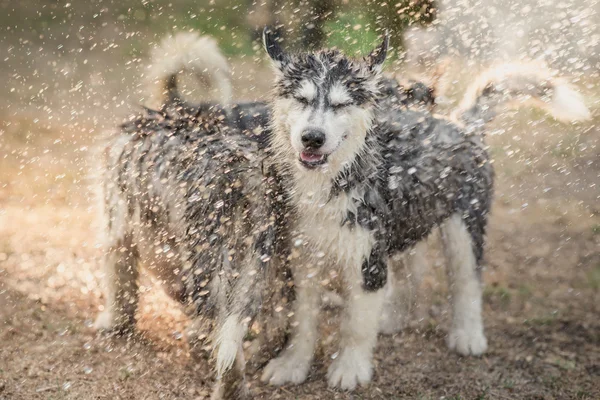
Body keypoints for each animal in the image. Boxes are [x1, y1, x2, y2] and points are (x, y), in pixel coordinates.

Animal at [260, 28, 588, 390]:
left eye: (341, 104)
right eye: (302, 100)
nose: (312, 138)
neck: (334, 179)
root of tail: (462, 124)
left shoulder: (368, 258)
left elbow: (356, 325)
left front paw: (350, 367)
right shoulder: (303, 258)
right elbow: (302, 320)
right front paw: (292, 363)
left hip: (463, 228)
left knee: (467, 281)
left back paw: (468, 335)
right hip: (408, 223)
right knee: (410, 277)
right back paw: (395, 318)